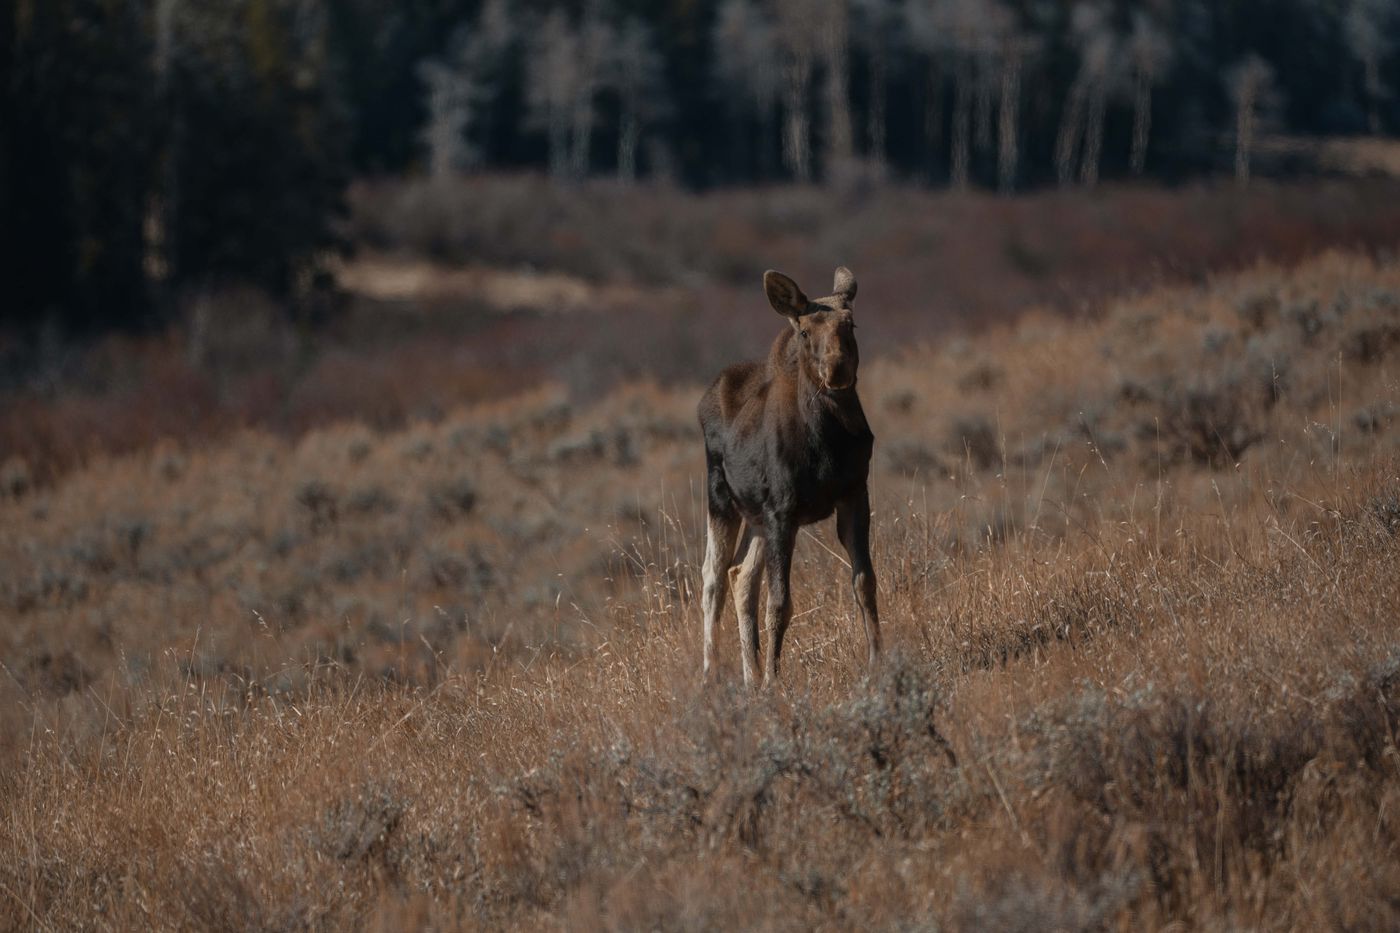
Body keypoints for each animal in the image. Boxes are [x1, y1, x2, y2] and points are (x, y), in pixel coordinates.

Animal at [697, 266, 879, 687]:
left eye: (851, 323)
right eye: (805, 331)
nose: (837, 368)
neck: (828, 443)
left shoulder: (854, 494)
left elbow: (864, 582)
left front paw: (879, 661)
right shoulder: (783, 511)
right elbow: (780, 603)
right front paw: (773, 683)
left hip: (757, 518)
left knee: (740, 574)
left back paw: (749, 677)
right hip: (722, 499)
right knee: (713, 576)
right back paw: (713, 675)